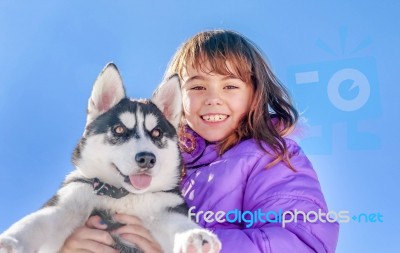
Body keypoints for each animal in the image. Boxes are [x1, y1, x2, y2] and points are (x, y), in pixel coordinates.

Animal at [0, 63, 222, 253]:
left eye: (157, 133)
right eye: (119, 129)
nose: (147, 159)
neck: (122, 196)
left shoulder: (167, 208)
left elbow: (180, 223)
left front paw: (196, 236)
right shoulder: (66, 203)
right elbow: (36, 222)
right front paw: (10, 241)